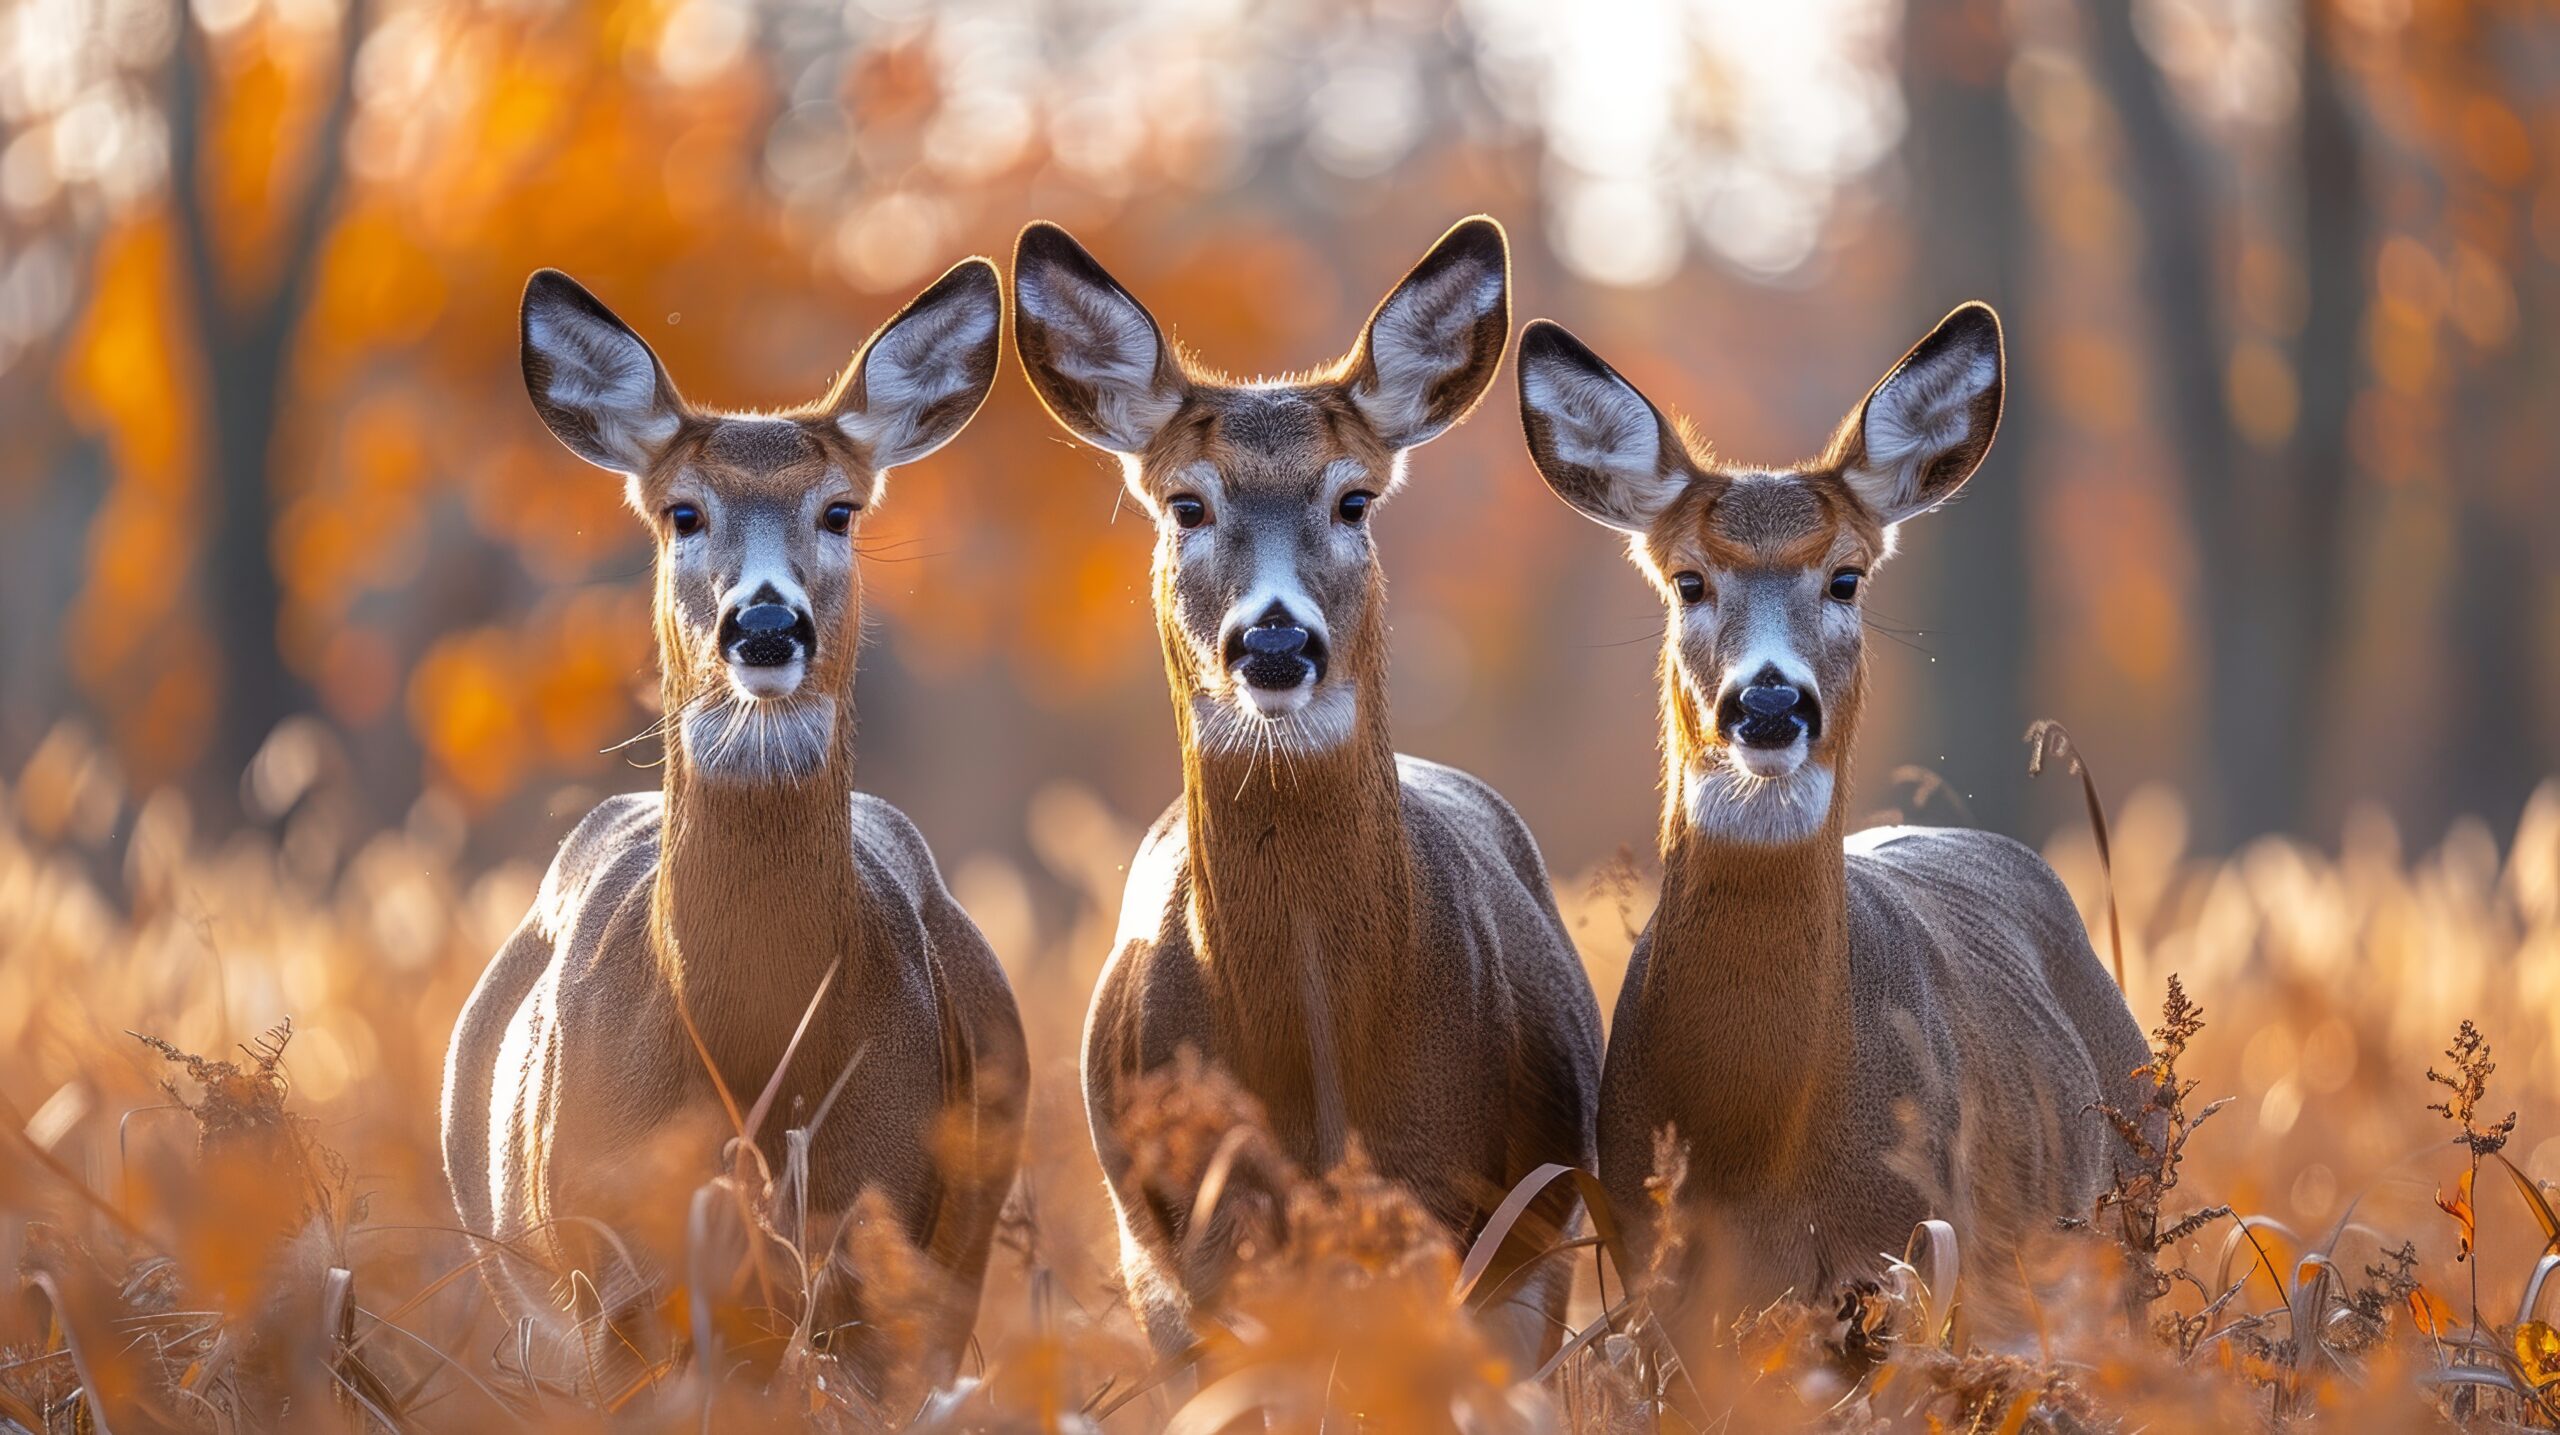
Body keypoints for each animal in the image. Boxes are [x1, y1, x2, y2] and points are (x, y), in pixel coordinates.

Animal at [440, 260, 1028, 1404]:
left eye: (839, 509)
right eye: (683, 512)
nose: (763, 624)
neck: (754, 1049)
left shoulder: (877, 1244)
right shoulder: (617, 1274)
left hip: (958, 1255)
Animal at [1513, 304, 2150, 1336]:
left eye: (1846, 577)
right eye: (1689, 580)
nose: (1770, 703)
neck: (1763, 1144)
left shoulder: (1918, 1259)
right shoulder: (1665, 1286)